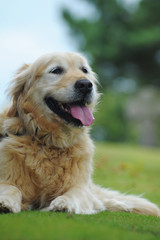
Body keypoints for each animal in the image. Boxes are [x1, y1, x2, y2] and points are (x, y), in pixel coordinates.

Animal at [0, 53, 159, 216]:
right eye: (56, 70)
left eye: (84, 70)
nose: (86, 85)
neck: (50, 142)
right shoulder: (7, 177)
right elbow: (11, 188)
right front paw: (5, 202)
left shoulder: (80, 185)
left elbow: (76, 192)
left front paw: (64, 203)